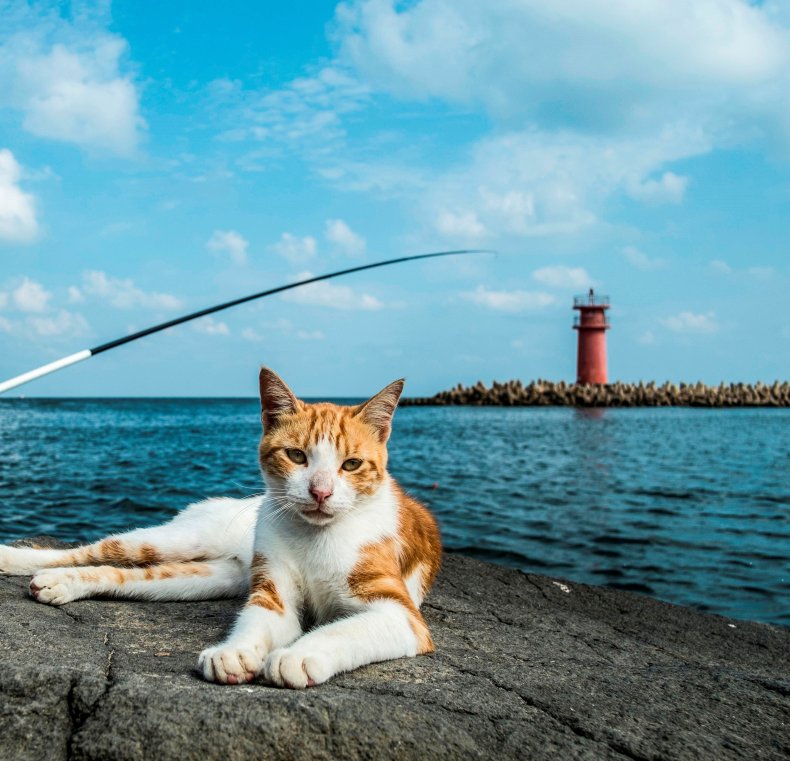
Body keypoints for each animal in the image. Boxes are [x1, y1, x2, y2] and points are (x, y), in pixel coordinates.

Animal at [0, 368, 442, 688]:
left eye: (351, 464)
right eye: (297, 456)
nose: (320, 491)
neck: (314, 536)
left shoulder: (401, 614)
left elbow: (342, 631)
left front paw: (298, 655)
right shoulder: (272, 593)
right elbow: (256, 622)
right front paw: (238, 651)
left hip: (212, 576)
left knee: (124, 575)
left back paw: (62, 583)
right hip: (182, 539)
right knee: (97, 550)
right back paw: (16, 558)